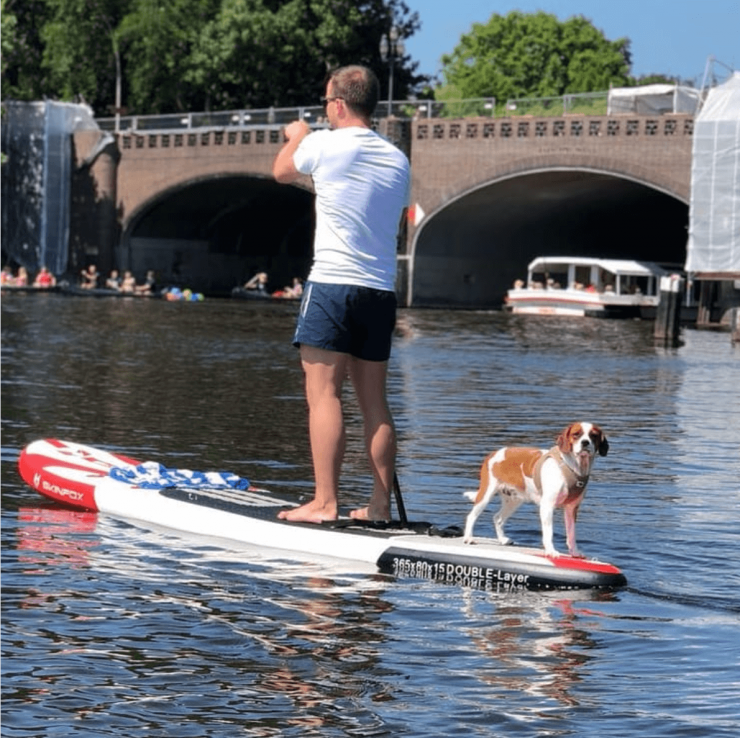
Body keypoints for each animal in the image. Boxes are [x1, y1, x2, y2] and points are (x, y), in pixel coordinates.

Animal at [466, 422, 608, 556]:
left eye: (593, 435)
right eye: (576, 434)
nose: (585, 442)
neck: (572, 467)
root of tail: (494, 453)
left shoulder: (572, 508)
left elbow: (571, 534)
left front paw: (574, 552)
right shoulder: (547, 506)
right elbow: (549, 532)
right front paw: (551, 551)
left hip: (514, 501)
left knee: (498, 518)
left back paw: (502, 539)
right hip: (486, 495)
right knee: (471, 516)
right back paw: (468, 538)